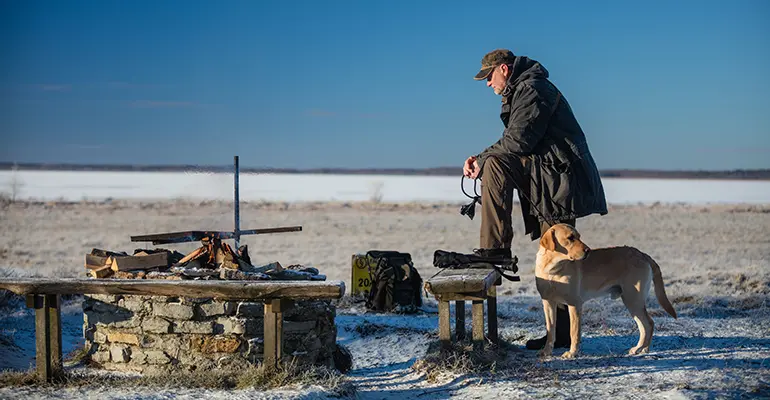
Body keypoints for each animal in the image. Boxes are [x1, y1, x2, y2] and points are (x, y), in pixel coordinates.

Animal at [536, 223, 672, 358]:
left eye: (579, 236)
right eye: (570, 238)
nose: (588, 250)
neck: (552, 269)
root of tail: (642, 254)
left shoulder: (574, 303)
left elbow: (574, 332)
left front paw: (572, 353)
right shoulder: (548, 303)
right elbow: (550, 330)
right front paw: (546, 351)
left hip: (633, 300)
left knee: (649, 323)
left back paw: (640, 348)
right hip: (632, 302)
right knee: (644, 326)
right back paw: (643, 348)